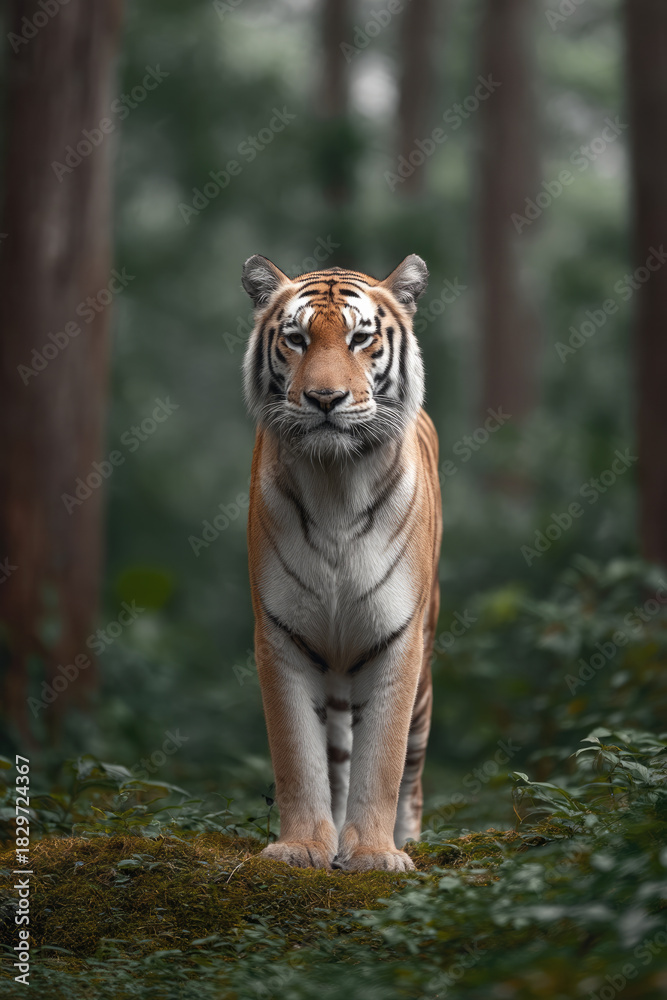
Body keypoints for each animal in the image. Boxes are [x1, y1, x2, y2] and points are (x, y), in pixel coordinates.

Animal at [242, 253, 442, 872]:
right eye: (296, 339)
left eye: (360, 338)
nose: (325, 399)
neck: (335, 484)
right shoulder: (279, 634)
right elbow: (296, 754)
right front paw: (303, 845)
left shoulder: (399, 637)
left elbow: (384, 759)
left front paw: (376, 854)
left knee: (412, 772)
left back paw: (408, 840)